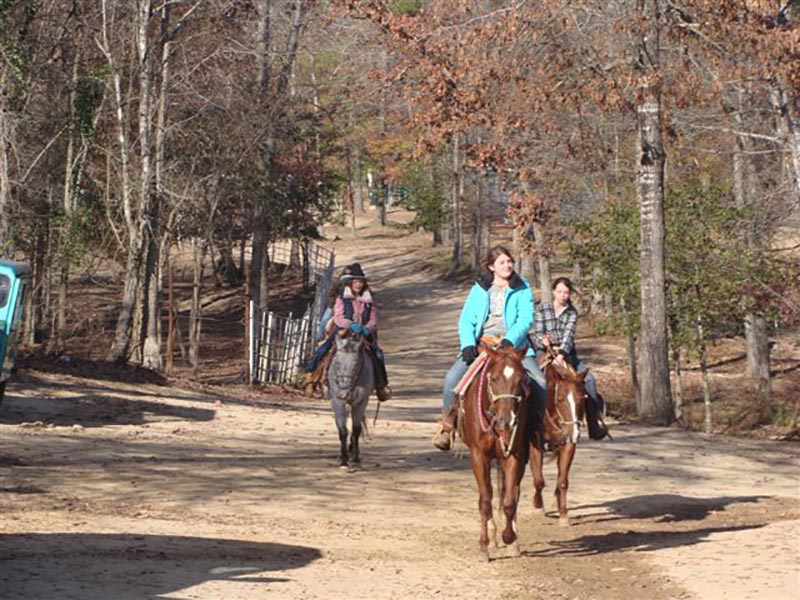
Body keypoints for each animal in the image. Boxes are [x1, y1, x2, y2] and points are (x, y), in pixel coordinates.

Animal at [324, 332, 376, 468]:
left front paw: (356, 458)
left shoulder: (361, 401)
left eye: (356, 363)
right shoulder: (337, 402)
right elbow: (343, 430)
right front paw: (343, 460)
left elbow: (356, 429)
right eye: (336, 362)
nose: (343, 393)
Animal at [456, 342, 532, 564]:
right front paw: (484, 546)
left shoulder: (514, 455)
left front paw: (509, 537)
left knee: (513, 491)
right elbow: (485, 500)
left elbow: (509, 501)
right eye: (494, 379)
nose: (507, 420)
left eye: (521, 379)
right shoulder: (478, 456)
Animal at [528, 354, 592, 528]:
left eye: (581, 398)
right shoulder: (534, 444)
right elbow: (538, 480)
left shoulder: (569, 445)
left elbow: (563, 481)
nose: (575, 433)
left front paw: (563, 515)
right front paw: (537, 507)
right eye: (561, 399)